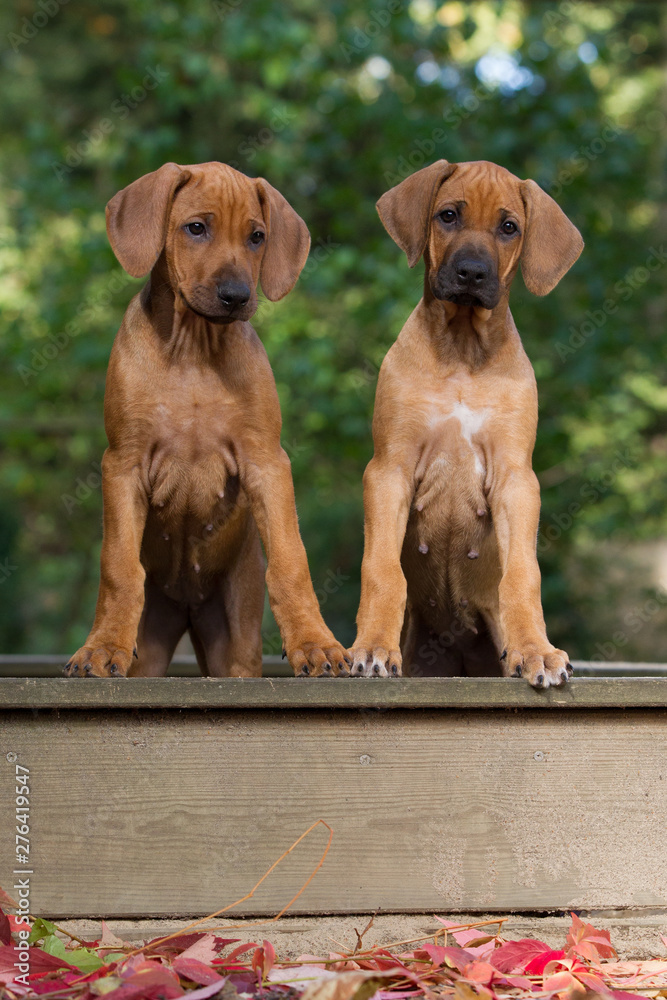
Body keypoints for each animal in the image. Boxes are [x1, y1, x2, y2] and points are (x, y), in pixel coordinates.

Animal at [66, 164, 350, 680]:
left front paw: (315, 643)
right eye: (196, 228)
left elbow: (290, 558)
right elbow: (119, 565)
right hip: (150, 650)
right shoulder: (122, 463)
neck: (193, 352)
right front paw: (100, 647)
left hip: (233, 645)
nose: (236, 296)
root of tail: (186, 606)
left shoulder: (266, 460)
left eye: (257, 237)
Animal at [352, 158, 580, 688]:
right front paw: (371, 646)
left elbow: (523, 573)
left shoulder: (517, 478)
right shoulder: (388, 469)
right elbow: (381, 569)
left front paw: (537, 651)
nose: (472, 273)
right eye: (448, 215)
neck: (462, 349)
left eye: (509, 227)